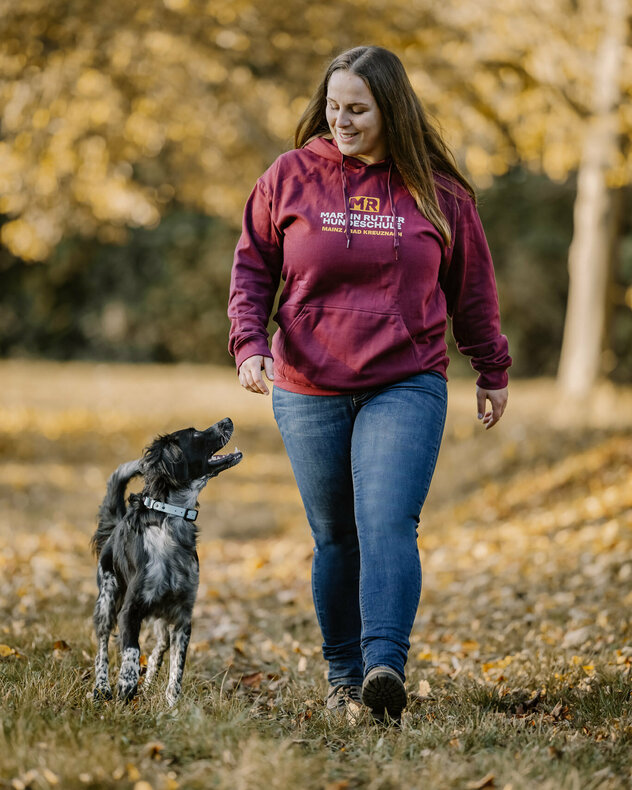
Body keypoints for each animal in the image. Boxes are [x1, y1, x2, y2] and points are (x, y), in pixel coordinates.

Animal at [91, 420, 242, 704]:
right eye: (195, 433)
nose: (227, 420)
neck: (170, 521)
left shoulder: (182, 615)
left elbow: (177, 668)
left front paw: (171, 704)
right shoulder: (130, 610)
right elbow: (131, 649)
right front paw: (126, 686)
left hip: (162, 614)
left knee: (160, 646)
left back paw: (149, 681)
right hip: (107, 598)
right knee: (102, 644)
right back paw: (101, 687)